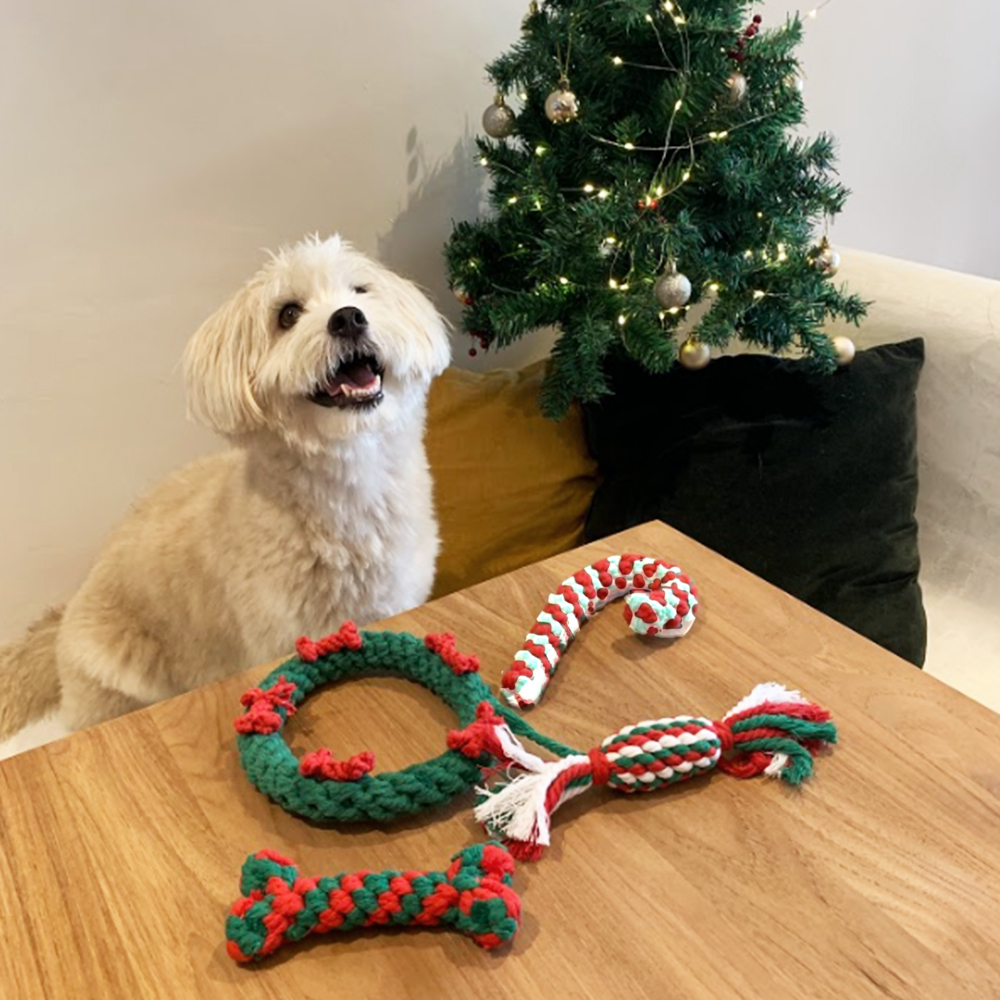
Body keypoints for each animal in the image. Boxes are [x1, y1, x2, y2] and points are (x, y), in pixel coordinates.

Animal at [0, 234, 450, 752]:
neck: (352, 486)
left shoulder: (397, 600)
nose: (349, 318)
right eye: (287, 314)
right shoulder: (284, 634)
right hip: (115, 680)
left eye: (361, 290)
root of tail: (65, 617)